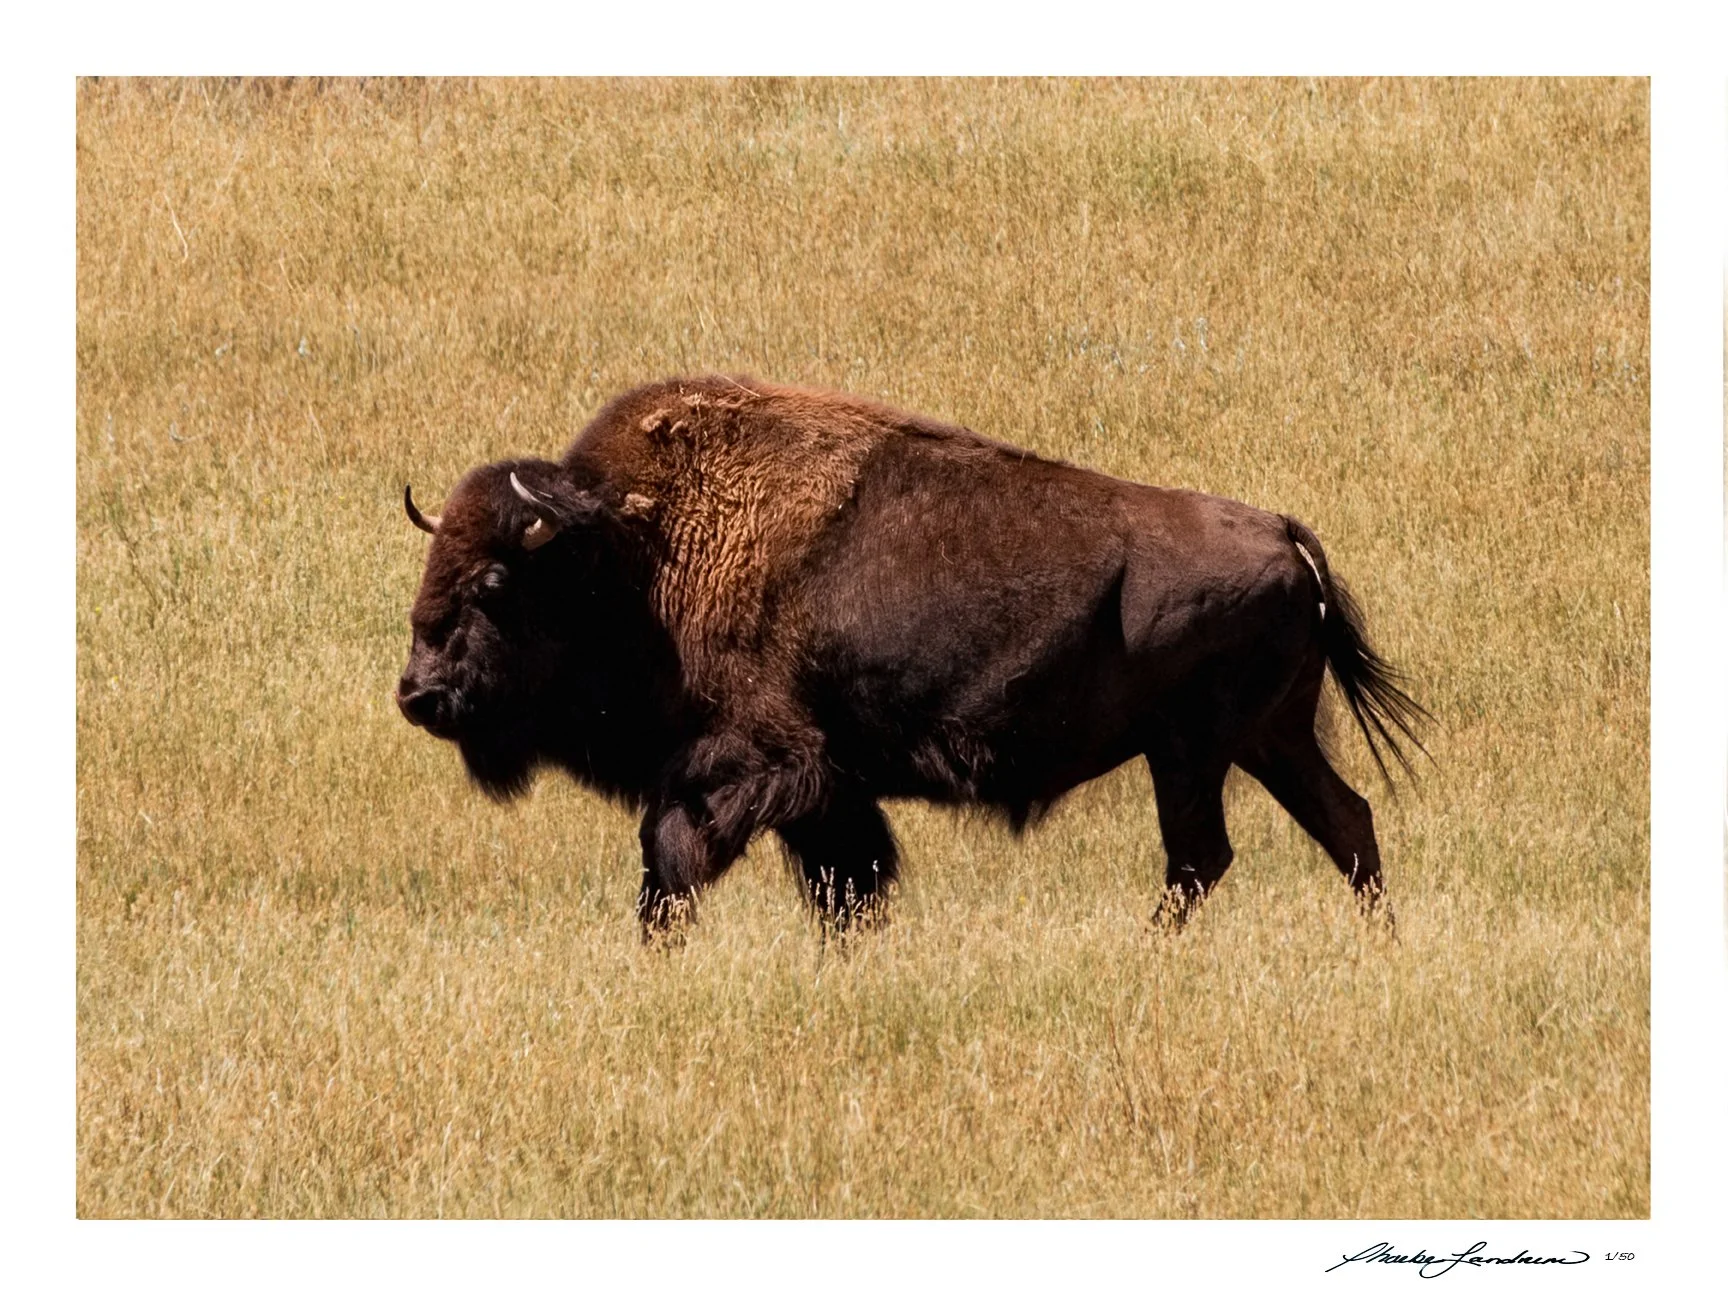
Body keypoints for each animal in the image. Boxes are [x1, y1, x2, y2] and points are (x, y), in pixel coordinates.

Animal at [398, 376, 1425, 935]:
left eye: (493, 583)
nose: (418, 695)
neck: (635, 557)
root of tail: (1283, 534)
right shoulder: (830, 794)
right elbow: (849, 884)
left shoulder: (743, 770)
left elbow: (673, 868)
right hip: (1268, 737)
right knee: (1344, 822)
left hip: (1193, 749)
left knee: (1204, 855)